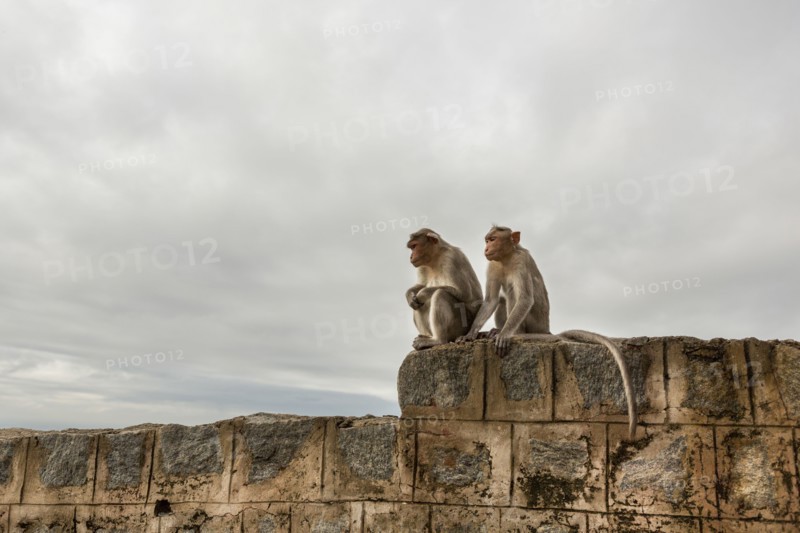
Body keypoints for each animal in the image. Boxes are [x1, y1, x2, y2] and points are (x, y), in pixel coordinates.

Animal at [458, 225, 638, 439]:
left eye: (493, 239)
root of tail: (547, 329)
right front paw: (471, 333)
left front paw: (504, 335)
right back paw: (496, 330)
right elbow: (491, 300)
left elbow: (525, 299)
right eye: (487, 240)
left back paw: (513, 333)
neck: (506, 258)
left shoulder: (521, 262)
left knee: (515, 294)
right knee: (502, 298)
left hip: (536, 320)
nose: (486, 248)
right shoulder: (492, 265)